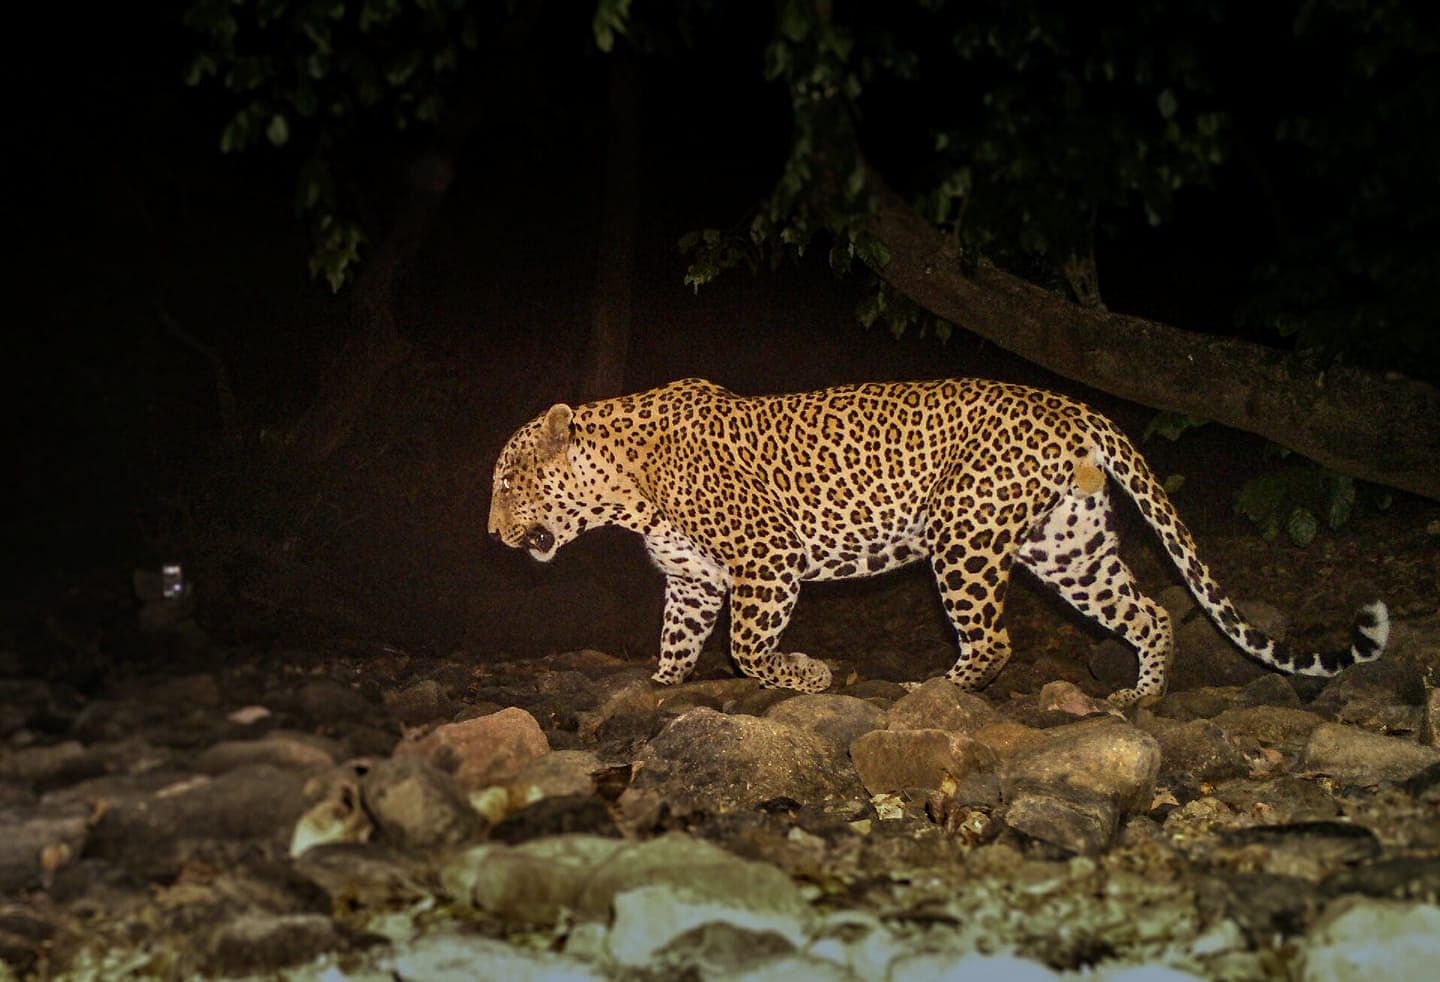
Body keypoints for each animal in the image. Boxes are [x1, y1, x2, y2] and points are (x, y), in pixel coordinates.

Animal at [489, 374, 1388, 702]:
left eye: (504, 480)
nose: (491, 533)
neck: (622, 489)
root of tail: (1077, 408)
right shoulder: (693, 577)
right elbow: (678, 638)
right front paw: (661, 685)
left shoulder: (766, 560)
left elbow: (746, 647)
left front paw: (806, 675)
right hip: (1066, 546)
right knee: (1151, 612)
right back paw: (1143, 696)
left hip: (965, 536)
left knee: (994, 639)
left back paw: (934, 689)